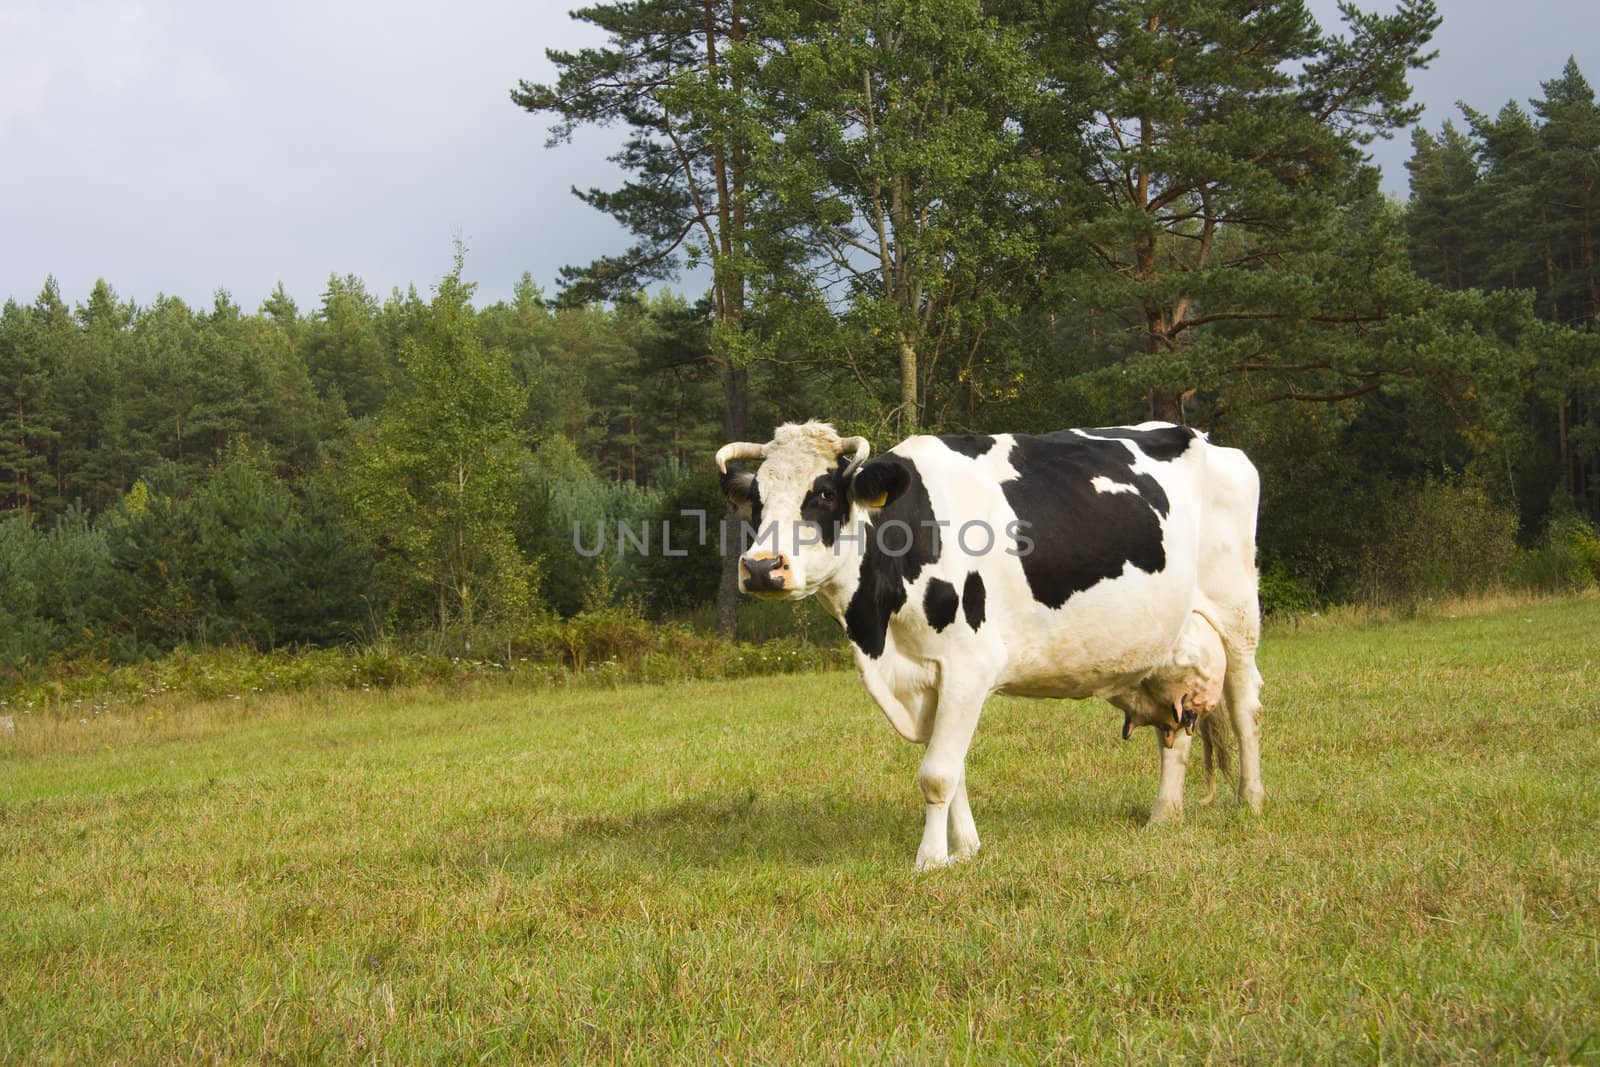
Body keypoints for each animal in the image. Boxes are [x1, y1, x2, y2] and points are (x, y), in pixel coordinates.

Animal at [716, 415, 1260, 870]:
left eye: (825, 494)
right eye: (757, 501)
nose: (761, 567)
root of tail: (1200, 435)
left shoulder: (969, 665)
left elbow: (937, 772)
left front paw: (931, 860)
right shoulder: (928, 675)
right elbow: (952, 768)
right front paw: (967, 849)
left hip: (1237, 614)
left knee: (1243, 706)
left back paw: (1250, 802)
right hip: (1170, 646)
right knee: (1176, 726)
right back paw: (1164, 815)